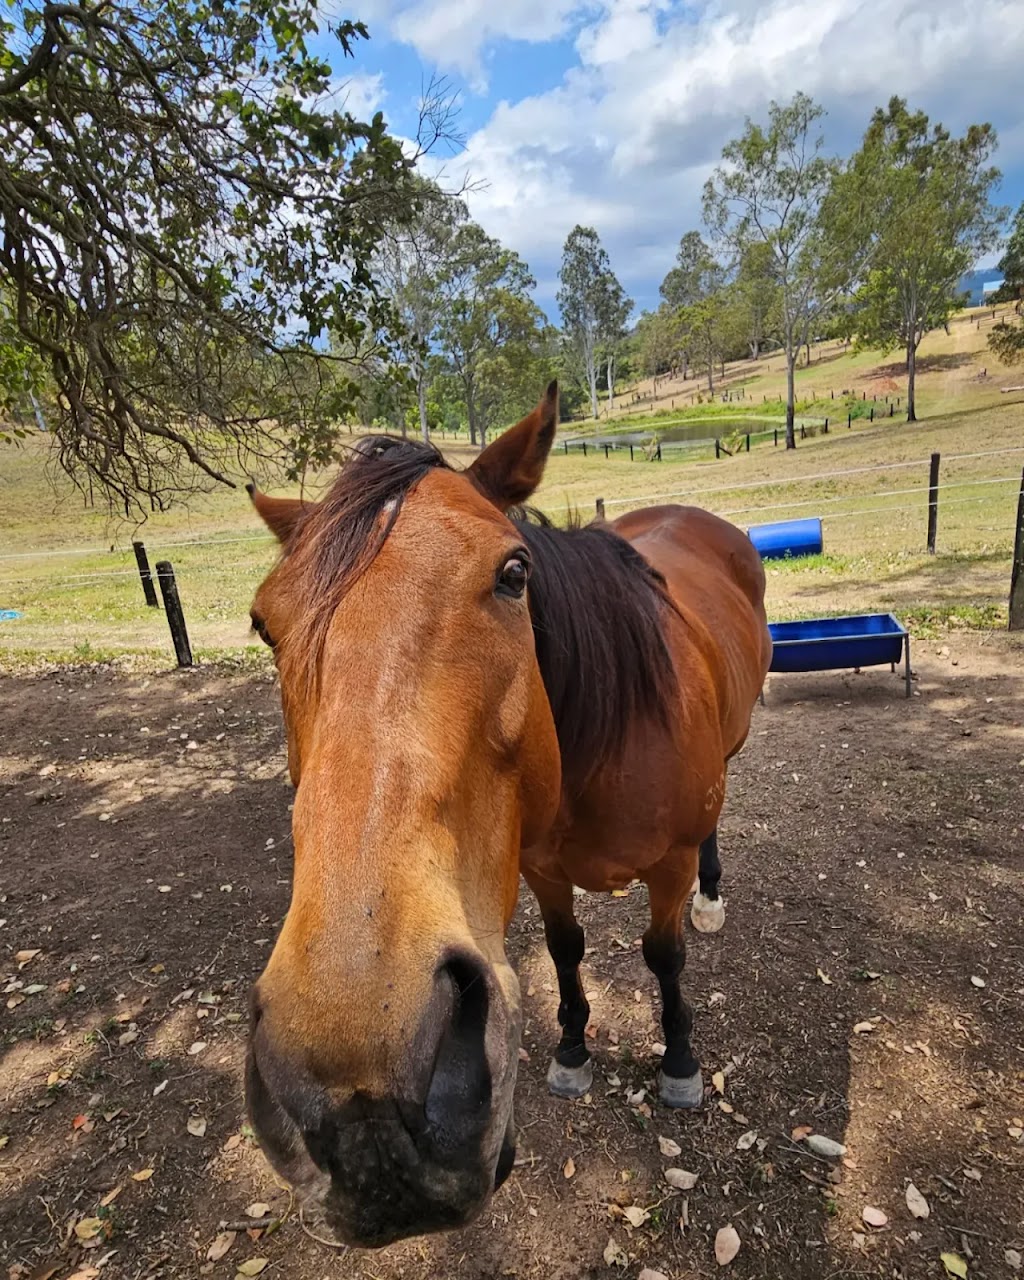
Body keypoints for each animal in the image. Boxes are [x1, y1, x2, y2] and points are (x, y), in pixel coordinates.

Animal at [244, 381, 772, 1249]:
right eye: (263, 624)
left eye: (514, 573)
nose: (364, 1107)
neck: (602, 742)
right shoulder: (540, 868)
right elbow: (565, 951)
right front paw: (572, 1049)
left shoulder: (664, 865)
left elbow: (664, 957)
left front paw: (680, 1063)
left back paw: (714, 895)